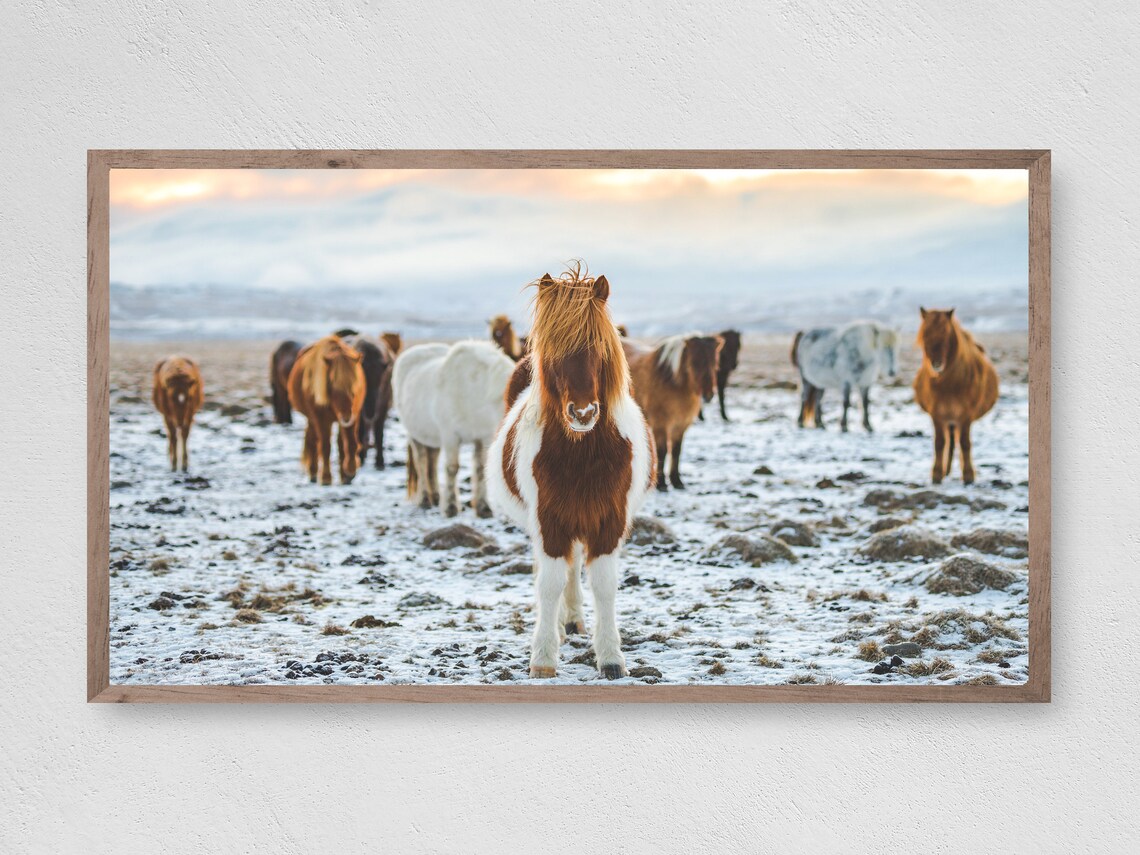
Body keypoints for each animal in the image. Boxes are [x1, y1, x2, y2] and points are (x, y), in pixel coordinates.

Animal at [287, 335, 366, 485]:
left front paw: (350, 471)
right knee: (312, 440)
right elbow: (325, 446)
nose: (346, 417)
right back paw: (313, 472)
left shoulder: (354, 415)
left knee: (339, 444)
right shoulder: (320, 419)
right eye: (333, 388)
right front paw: (326, 477)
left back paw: (343, 476)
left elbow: (350, 443)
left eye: (354, 390)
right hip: (312, 418)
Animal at [393, 340, 515, 517]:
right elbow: (452, 469)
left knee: (432, 461)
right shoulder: (450, 436)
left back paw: (436, 496)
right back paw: (425, 500)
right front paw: (451, 507)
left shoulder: (484, 437)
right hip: (415, 435)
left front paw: (483, 507)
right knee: (421, 462)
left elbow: (480, 470)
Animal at [487, 266, 654, 680]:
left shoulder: (608, 520)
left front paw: (610, 657)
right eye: (553, 352)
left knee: (574, 565)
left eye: (600, 347)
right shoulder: (549, 521)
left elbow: (604, 585)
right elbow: (548, 584)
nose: (583, 413)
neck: (582, 456)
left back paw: (574, 620)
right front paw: (544, 657)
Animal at [624, 333, 722, 491]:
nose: (708, 396)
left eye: (715, 363)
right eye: (694, 363)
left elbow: (676, 451)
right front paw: (662, 483)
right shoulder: (661, 425)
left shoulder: (680, 426)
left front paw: (677, 481)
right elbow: (663, 451)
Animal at [913, 308, 999, 484]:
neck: (949, 386)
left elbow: (965, 443)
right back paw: (946, 471)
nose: (936, 363)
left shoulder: (965, 415)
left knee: (956, 441)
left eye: (946, 333)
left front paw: (968, 476)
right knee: (950, 441)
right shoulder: (937, 415)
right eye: (925, 334)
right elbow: (939, 443)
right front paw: (936, 475)